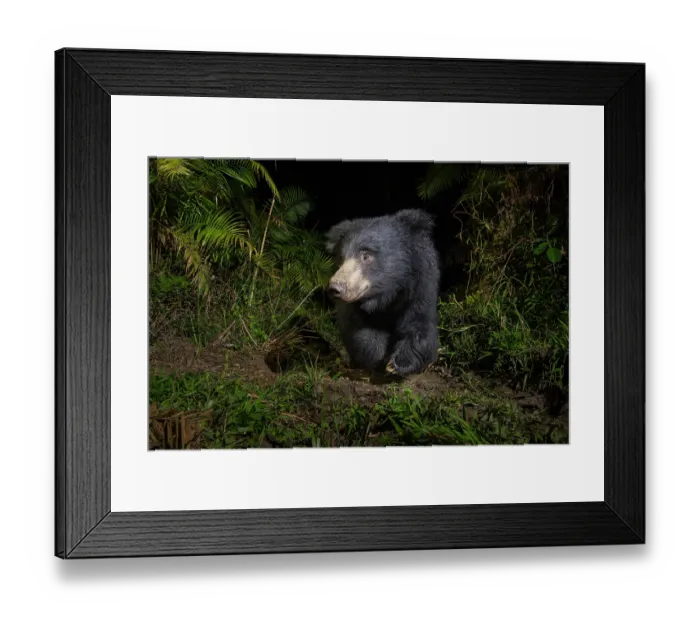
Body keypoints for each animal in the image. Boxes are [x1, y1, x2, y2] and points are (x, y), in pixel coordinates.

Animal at [324, 208, 440, 377]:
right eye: (341, 258)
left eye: (366, 255)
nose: (335, 288)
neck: (387, 296)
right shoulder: (354, 310)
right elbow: (361, 332)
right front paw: (379, 359)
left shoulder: (421, 288)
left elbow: (419, 325)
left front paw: (397, 364)